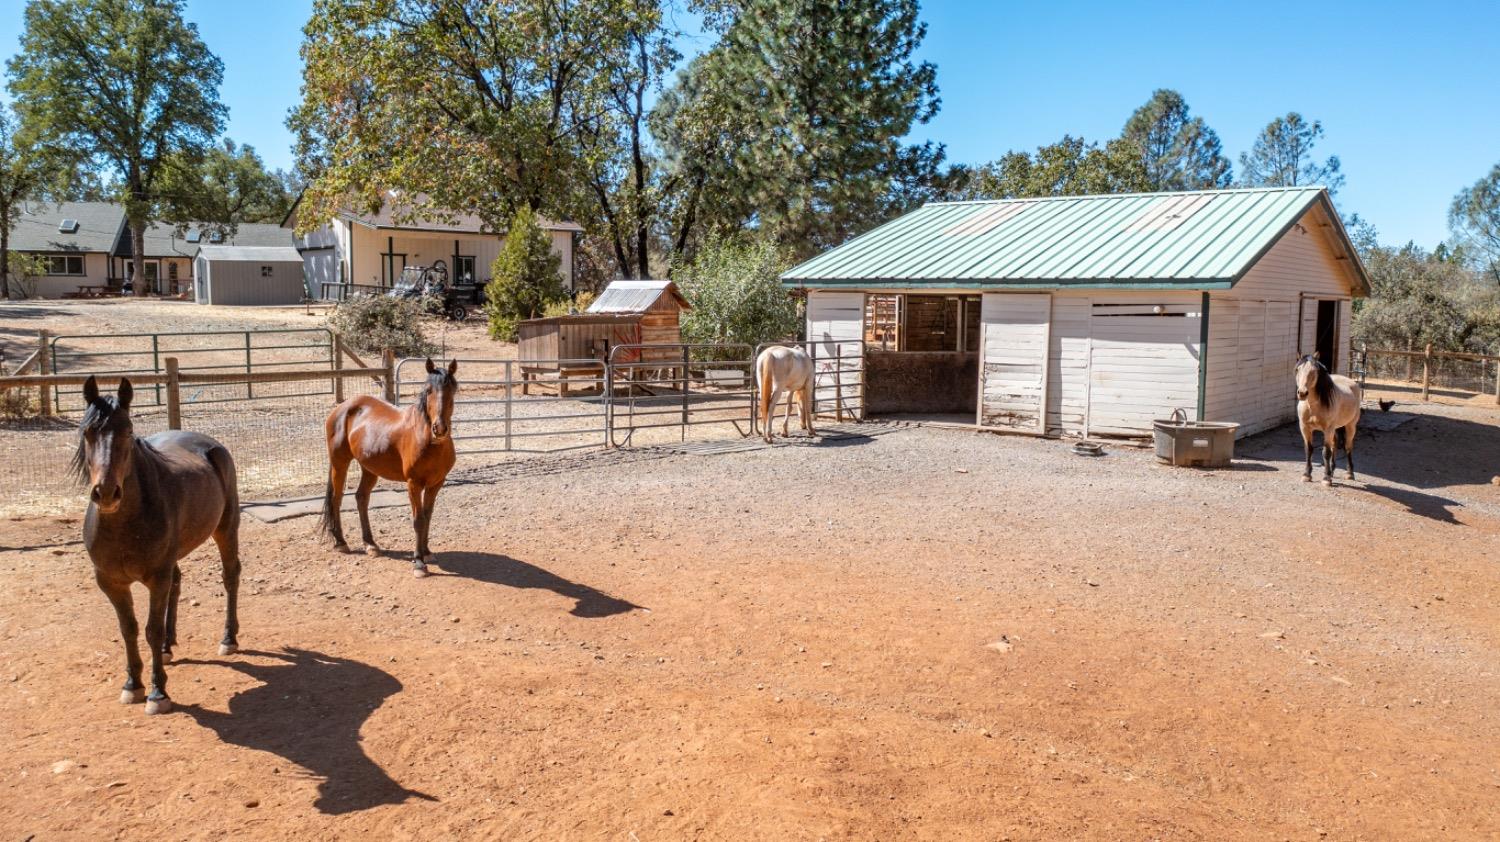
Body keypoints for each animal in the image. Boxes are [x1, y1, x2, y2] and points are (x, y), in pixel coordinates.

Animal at [73, 378, 240, 711]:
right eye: (87, 432)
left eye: (128, 431)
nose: (106, 493)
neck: (123, 526)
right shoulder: (110, 582)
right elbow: (129, 629)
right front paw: (132, 684)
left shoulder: (156, 577)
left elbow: (151, 629)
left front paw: (157, 692)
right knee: (177, 582)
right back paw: (167, 647)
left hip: (226, 530)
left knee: (230, 577)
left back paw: (228, 639)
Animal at [319, 354, 453, 576]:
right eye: (428, 390)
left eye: (452, 390)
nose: (439, 428)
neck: (428, 441)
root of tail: (342, 408)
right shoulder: (413, 484)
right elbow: (418, 520)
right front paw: (418, 563)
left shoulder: (436, 483)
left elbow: (427, 517)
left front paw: (426, 552)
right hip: (340, 463)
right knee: (337, 499)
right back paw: (341, 542)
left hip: (369, 468)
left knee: (361, 498)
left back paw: (370, 544)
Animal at [1296, 354, 1368, 486]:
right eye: (1297, 370)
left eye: (1314, 371)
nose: (1302, 393)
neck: (1313, 406)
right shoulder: (1304, 428)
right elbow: (1309, 450)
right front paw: (1307, 475)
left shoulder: (1327, 429)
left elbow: (1326, 452)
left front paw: (1326, 479)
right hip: (1335, 428)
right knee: (1334, 444)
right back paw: (1332, 471)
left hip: (1350, 426)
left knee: (1348, 446)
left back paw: (1349, 473)